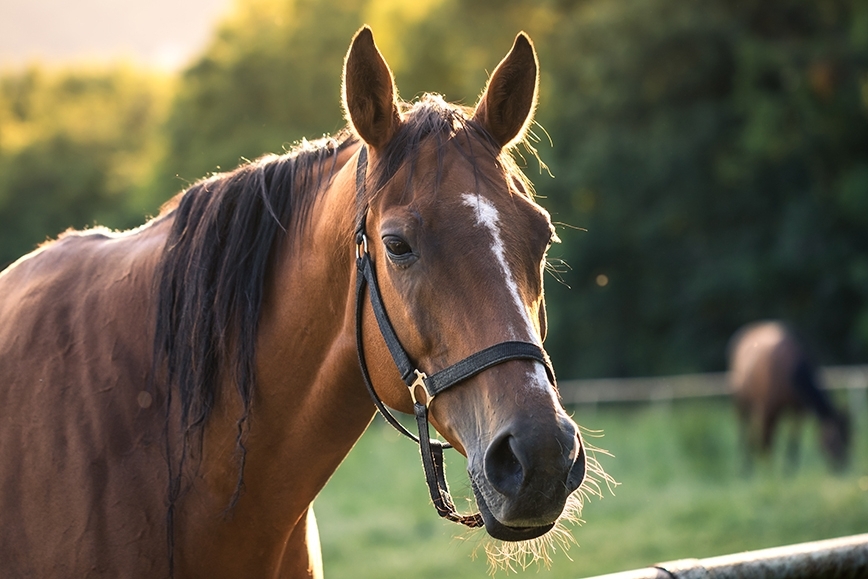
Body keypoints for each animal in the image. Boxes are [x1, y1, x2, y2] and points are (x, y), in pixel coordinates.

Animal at [728, 320, 852, 474]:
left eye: (849, 439)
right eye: (834, 440)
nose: (842, 468)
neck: (791, 370)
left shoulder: (798, 411)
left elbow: (794, 440)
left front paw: (789, 470)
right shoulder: (769, 409)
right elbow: (767, 440)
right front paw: (768, 472)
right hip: (742, 403)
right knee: (744, 432)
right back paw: (745, 469)